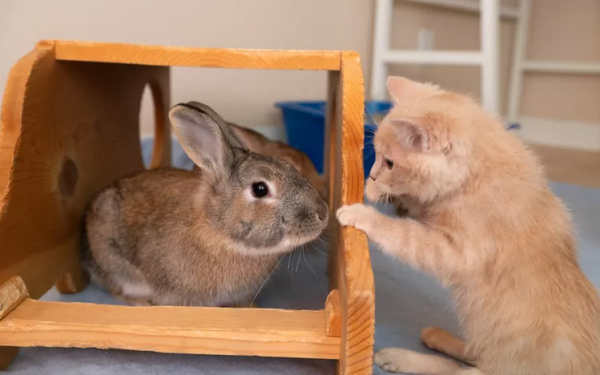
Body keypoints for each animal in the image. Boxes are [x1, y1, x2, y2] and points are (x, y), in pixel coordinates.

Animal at [338, 77, 600, 375]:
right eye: (378, 157)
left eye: (390, 162)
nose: (371, 174)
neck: (477, 177)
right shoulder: (431, 213)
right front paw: (373, 188)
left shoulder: (456, 251)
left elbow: (403, 234)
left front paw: (364, 209)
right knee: (474, 352)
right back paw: (438, 337)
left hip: (487, 368)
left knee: (454, 368)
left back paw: (398, 356)